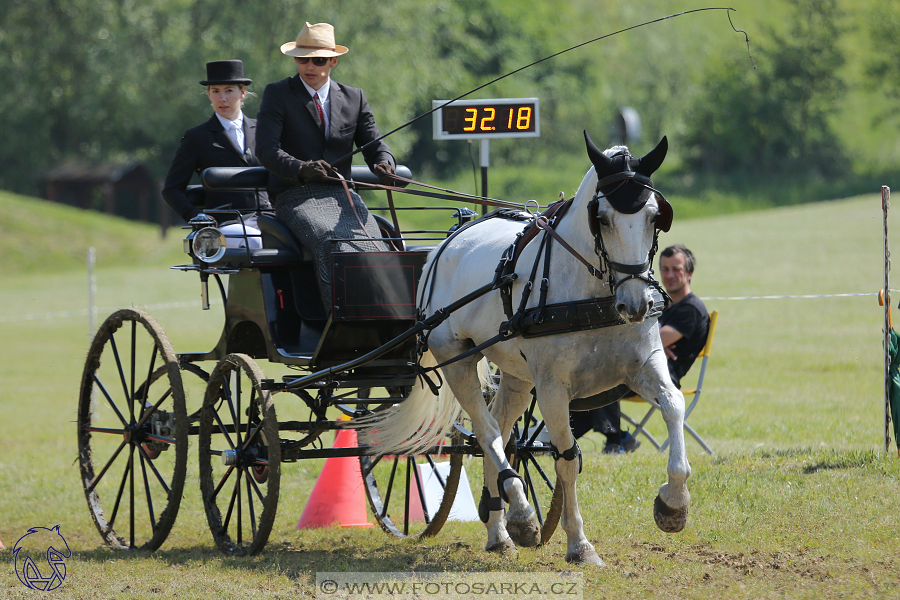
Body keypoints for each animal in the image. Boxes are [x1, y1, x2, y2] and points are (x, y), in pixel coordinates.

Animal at [356, 132, 688, 568]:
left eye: (653, 215)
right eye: (601, 218)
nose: (635, 305)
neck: (592, 295)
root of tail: (443, 247)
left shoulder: (645, 365)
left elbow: (674, 406)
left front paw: (674, 504)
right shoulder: (552, 389)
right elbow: (566, 460)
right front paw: (579, 545)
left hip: (516, 376)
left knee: (499, 430)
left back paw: (499, 529)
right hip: (456, 359)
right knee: (486, 432)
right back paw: (521, 515)